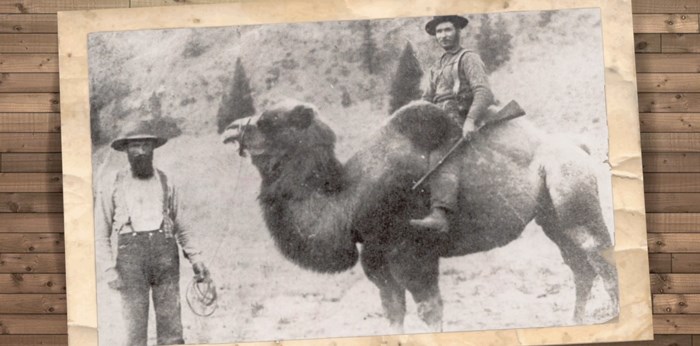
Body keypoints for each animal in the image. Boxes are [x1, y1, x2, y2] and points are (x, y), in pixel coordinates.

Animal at [223, 100, 616, 332]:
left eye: (269, 120)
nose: (229, 129)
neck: (350, 198)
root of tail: (578, 147)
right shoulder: (377, 259)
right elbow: (393, 311)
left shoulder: (413, 251)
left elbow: (430, 310)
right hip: (550, 216)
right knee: (578, 265)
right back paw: (575, 322)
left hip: (572, 189)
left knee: (597, 252)